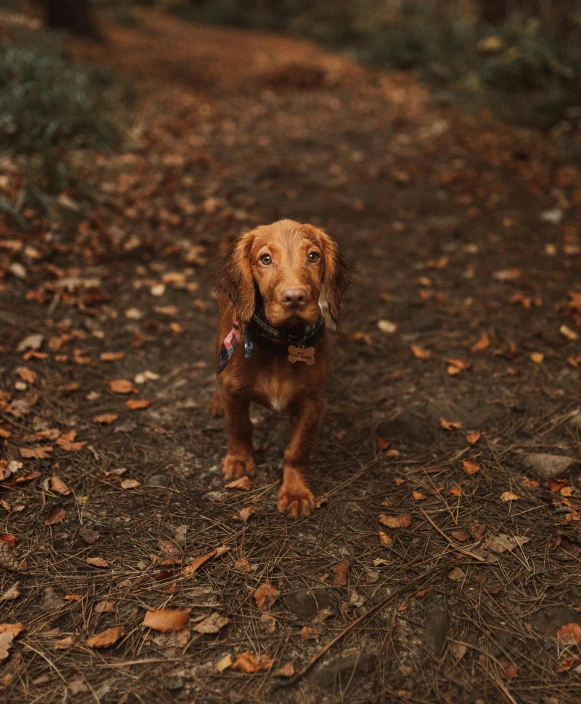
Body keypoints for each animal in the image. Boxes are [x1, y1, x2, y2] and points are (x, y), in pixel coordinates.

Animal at [212, 219, 352, 516]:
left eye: (313, 256)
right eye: (265, 259)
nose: (295, 297)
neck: (279, 343)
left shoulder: (310, 402)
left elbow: (297, 450)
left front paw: (295, 493)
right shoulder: (234, 393)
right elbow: (239, 426)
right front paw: (239, 461)